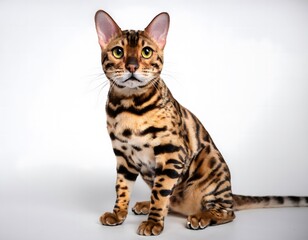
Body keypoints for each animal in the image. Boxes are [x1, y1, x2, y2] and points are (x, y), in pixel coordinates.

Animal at [94, 9, 308, 236]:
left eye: (146, 52)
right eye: (118, 52)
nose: (132, 66)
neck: (130, 106)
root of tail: (231, 193)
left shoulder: (172, 153)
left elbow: (160, 193)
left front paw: (153, 223)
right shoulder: (123, 156)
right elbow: (122, 188)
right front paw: (118, 214)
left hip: (210, 166)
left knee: (227, 212)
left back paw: (201, 217)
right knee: (172, 202)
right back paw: (146, 205)